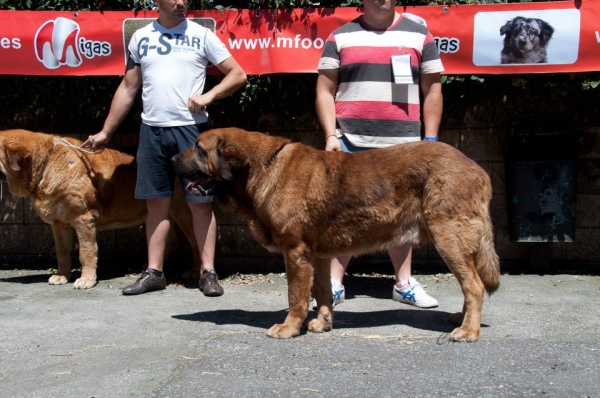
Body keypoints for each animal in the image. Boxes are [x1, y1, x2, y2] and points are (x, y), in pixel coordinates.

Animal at [0, 131, 202, 290]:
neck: (45, 163)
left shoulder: (83, 220)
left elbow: (86, 252)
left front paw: (86, 280)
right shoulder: (59, 225)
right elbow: (62, 252)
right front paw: (62, 276)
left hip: (184, 214)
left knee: (195, 242)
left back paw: (195, 272)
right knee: (173, 242)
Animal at [173, 127, 502, 342]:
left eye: (199, 149)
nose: (172, 160)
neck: (262, 168)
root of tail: (480, 171)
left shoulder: (295, 252)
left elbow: (296, 296)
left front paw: (289, 328)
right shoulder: (316, 255)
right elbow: (321, 291)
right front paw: (323, 322)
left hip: (448, 238)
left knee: (473, 285)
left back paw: (468, 331)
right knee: (472, 284)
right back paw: (463, 318)